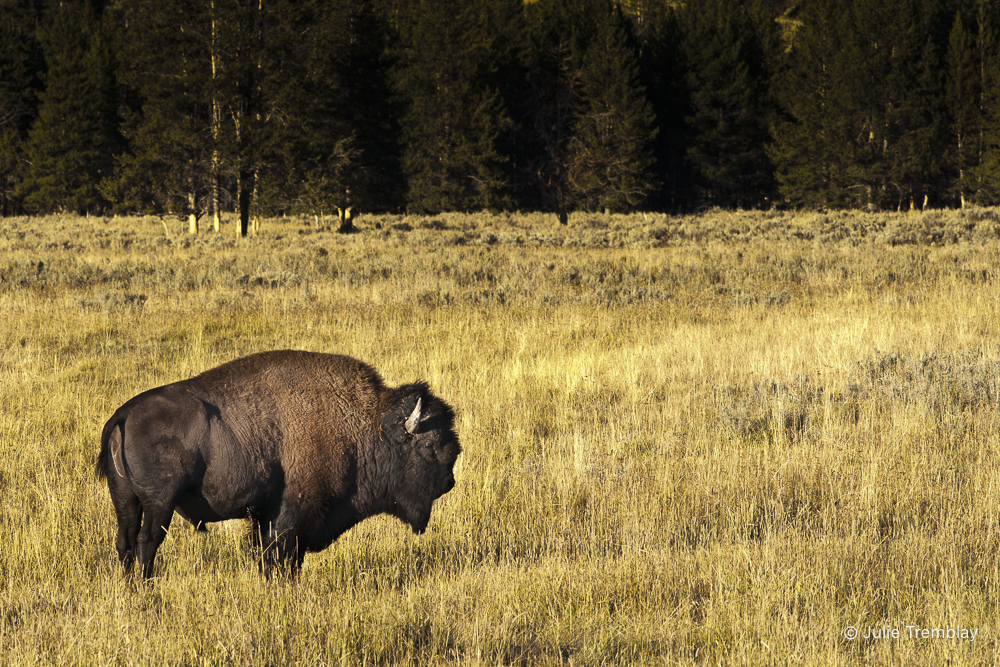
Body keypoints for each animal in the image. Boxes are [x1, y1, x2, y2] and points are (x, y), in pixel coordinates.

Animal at [95, 350, 461, 578]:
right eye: (429, 445)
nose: (449, 482)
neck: (366, 424)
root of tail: (124, 414)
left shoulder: (265, 514)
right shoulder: (296, 513)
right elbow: (282, 555)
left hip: (126, 500)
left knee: (125, 541)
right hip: (160, 503)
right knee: (147, 542)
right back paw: (146, 587)